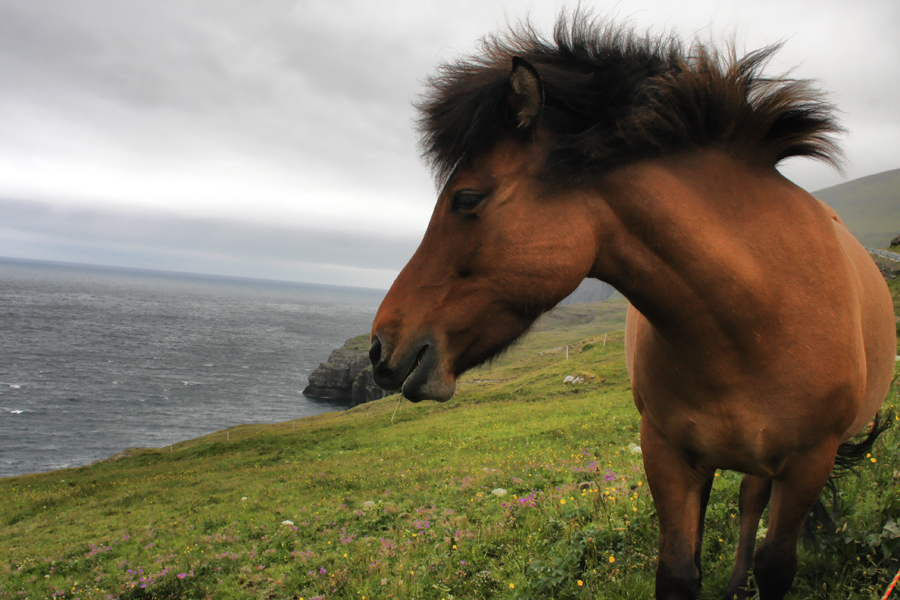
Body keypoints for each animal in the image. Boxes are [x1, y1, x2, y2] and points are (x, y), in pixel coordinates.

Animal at [368, 15, 892, 600]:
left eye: (466, 199)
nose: (380, 348)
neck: (757, 320)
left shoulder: (807, 464)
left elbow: (776, 565)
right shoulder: (666, 453)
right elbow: (679, 571)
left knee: (750, 502)